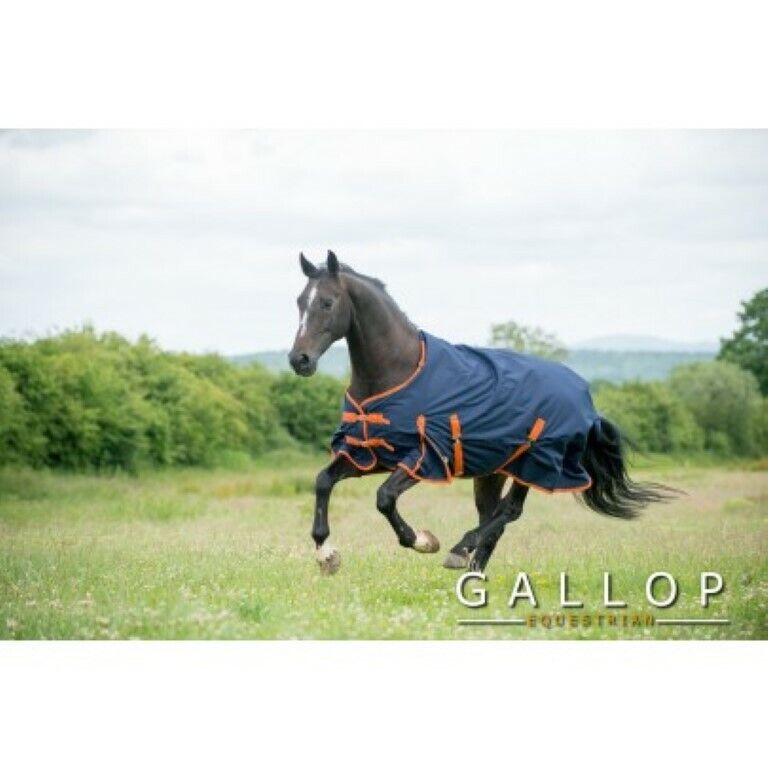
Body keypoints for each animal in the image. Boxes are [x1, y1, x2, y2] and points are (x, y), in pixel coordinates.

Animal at [289, 250, 674, 575]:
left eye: (327, 302)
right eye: (299, 302)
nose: (299, 360)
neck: (398, 371)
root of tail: (587, 401)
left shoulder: (426, 457)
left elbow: (384, 499)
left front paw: (423, 540)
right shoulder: (371, 453)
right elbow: (323, 481)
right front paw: (327, 555)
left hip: (532, 465)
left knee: (508, 512)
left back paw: (459, 550)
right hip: (493, 471)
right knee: (493, 516)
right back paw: (472, 572)